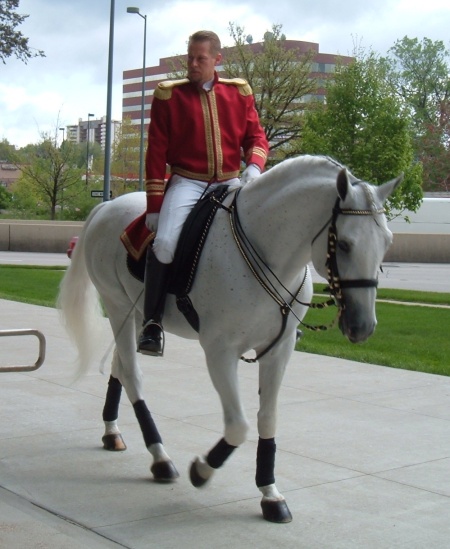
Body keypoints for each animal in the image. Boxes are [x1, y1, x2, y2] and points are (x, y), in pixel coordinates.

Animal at [57, 154, 400, 524]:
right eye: (346, 244)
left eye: (388, 242)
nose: (362, 325)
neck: (269, 253)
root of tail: (106, 206)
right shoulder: (220, 352)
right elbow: (238, 425)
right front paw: (202, 470)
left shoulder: (279, 351)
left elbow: (267, 418)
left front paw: (270, 492)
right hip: (118, 305)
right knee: (132, 375)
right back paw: (160, 458)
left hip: (132, 314)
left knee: (120, 367)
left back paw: (112, 432)